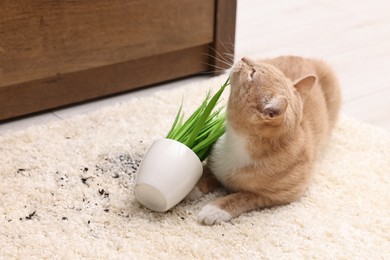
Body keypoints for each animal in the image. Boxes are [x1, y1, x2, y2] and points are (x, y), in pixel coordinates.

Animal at [190, 55, 342, 225]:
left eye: (252, 74)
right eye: (256, 67)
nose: (244, 58)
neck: (236, 142)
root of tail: (307, 58)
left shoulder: (278, 196)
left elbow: (242, 197)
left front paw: (214, 210)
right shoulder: (216, 163)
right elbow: (207, 174)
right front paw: (192, 187)